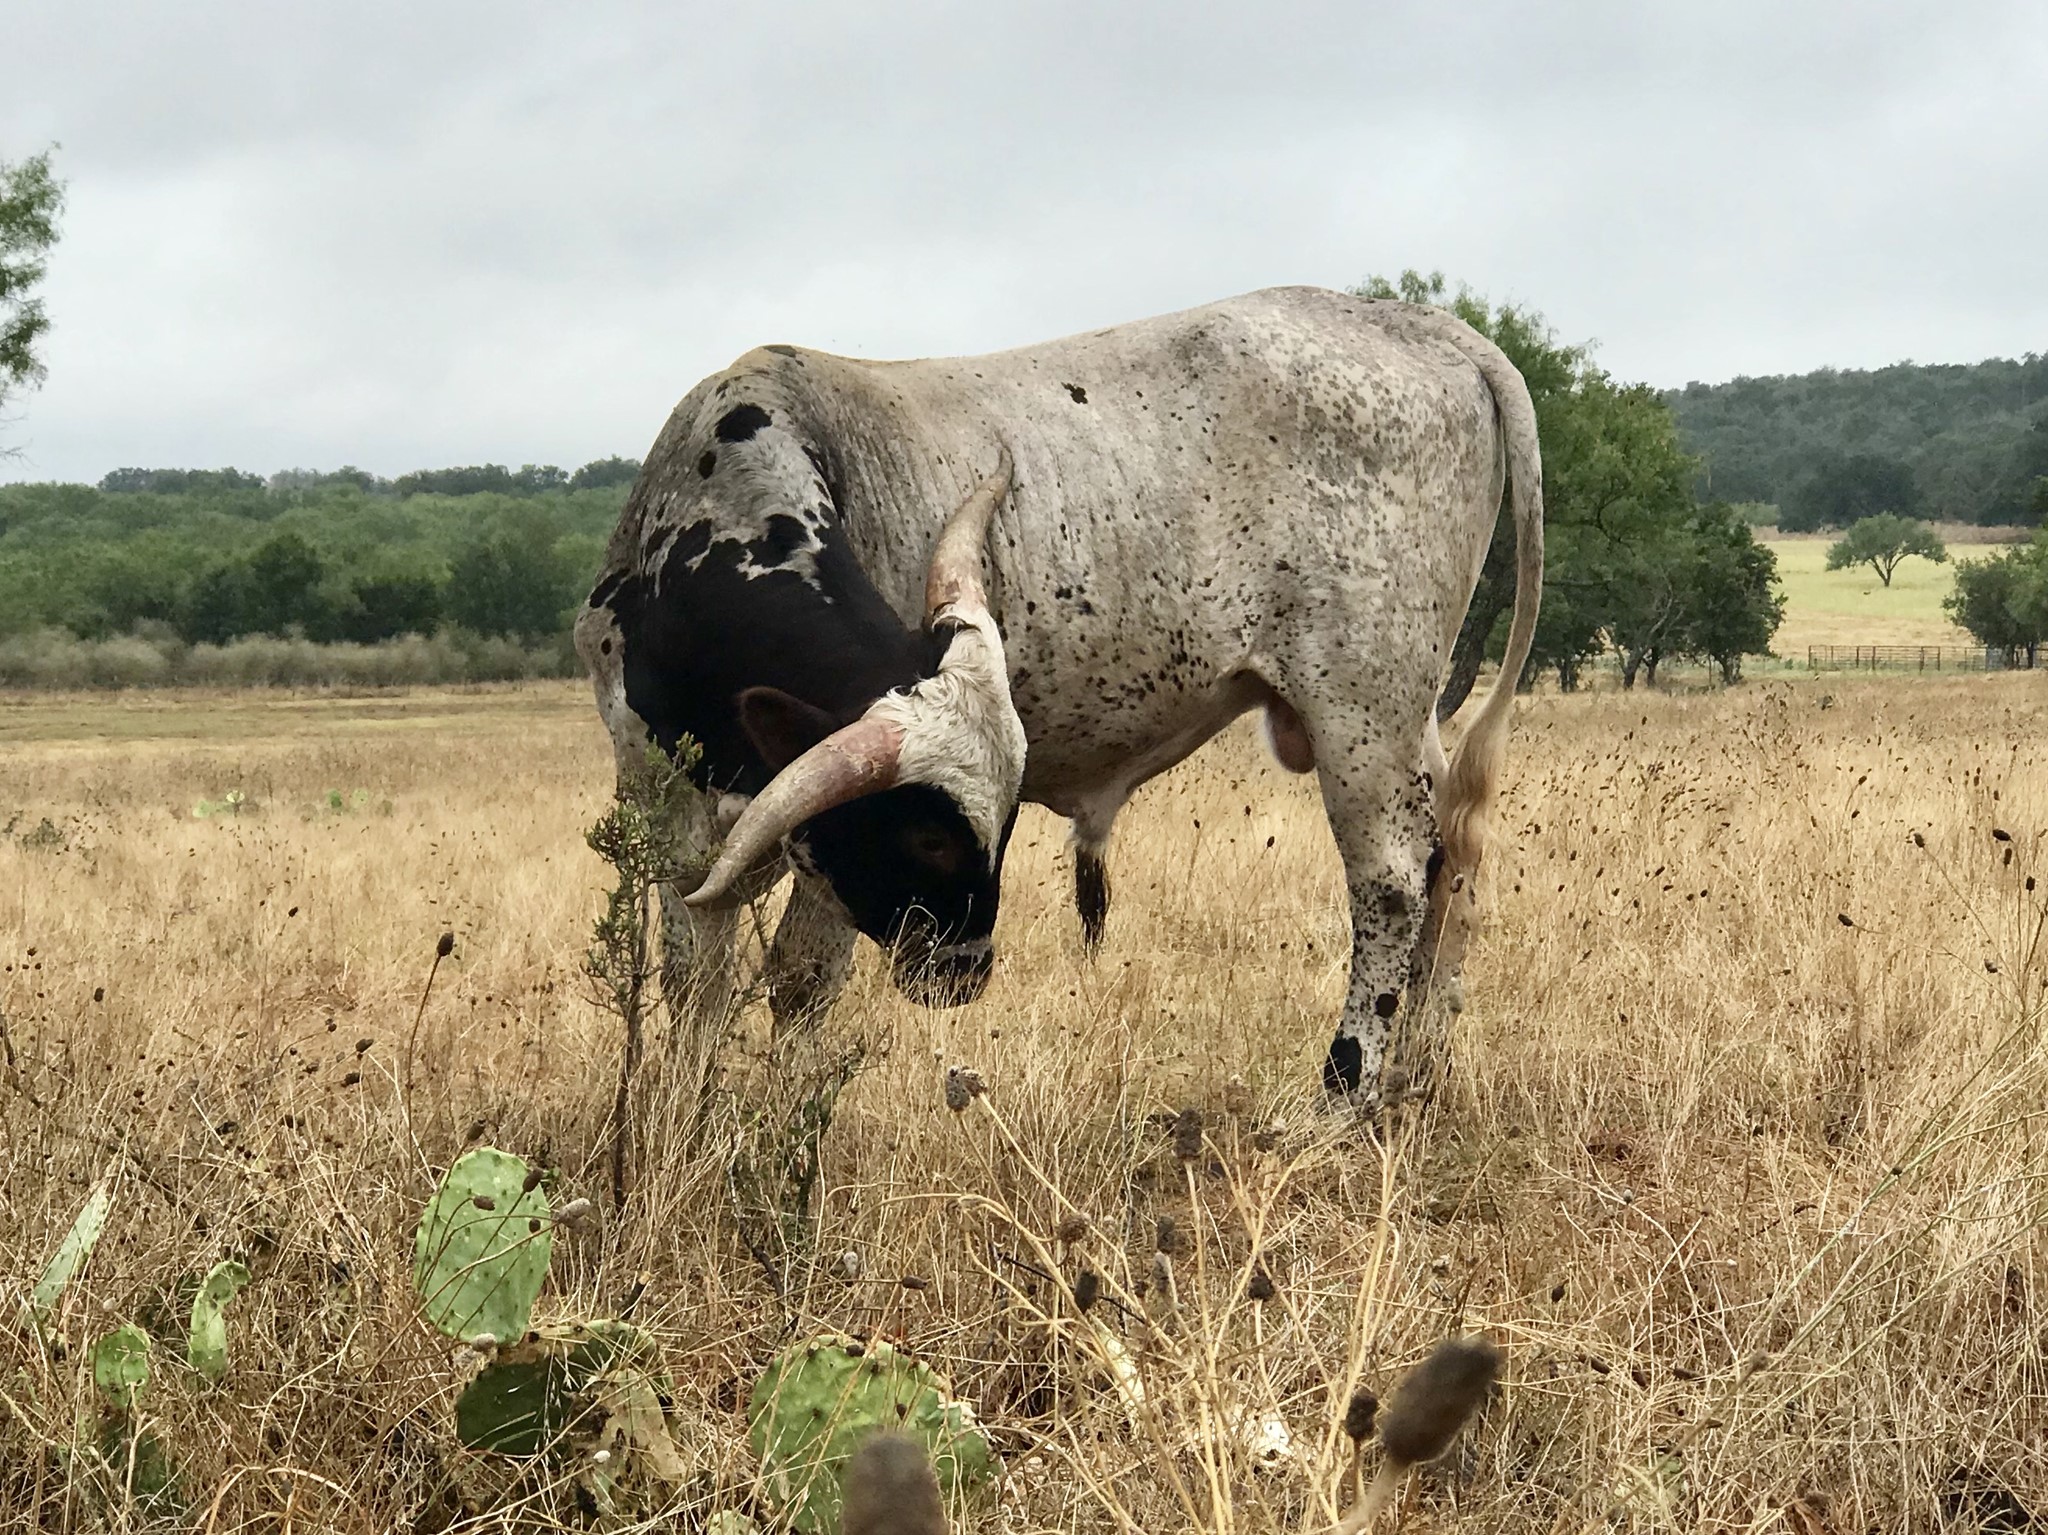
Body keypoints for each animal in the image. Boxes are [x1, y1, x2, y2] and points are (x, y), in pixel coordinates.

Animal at [574, 285, 1542, 1110]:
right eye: (930, 834)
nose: (965, 969)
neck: (704, 534)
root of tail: (1420, 323)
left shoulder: (820, 850)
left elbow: (799, 983)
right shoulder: (664, 809)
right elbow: (694, 986)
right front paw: (682, 1123)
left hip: (1361, 705)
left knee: (1391, 880)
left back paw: (1343, 1097)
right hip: (1406, 713)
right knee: (1450, 860)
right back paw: (1415, 1077)